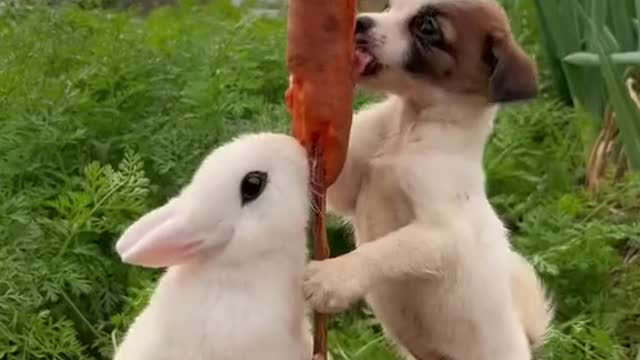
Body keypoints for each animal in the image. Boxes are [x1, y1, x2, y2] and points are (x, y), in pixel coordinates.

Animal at [302, 0, 552, 360]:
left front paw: (333, 279)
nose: (360, 23)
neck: (407, 131)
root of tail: (527, 342)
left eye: (427, 28)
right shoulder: (348, 186)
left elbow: (384, 251)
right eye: (391, 6)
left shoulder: (441, 233)